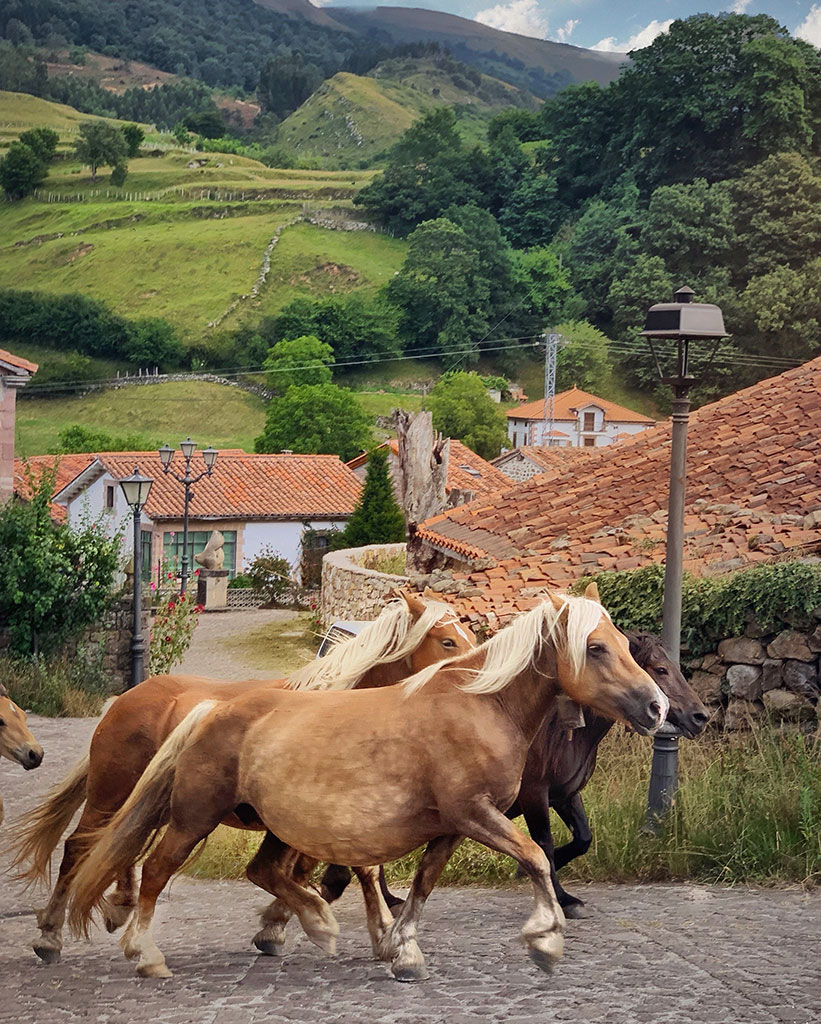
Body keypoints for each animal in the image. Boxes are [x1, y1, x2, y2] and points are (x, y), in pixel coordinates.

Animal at [12, 589, 470, 962]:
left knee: (122, 846)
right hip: (111, 794)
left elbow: (343, 872)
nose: (474, 681)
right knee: (79, 847)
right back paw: (50, 935)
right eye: (447, 640)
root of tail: (125, 698)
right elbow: (327, 873)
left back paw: (119, 904)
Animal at [63, 593, 663, 983]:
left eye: (622, 643)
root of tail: (210, 709)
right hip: (190, 815)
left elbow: (419, 883)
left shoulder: (454, 825)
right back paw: (138, 952)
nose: (657, 708)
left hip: (267, 824)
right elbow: (537, 857)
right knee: (145, 868)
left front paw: (401, 950)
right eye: (596, 648)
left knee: (258, 870)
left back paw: (310, 925)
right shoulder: (476, 813)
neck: (480, 706)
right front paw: (545, 940)